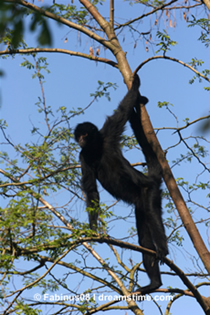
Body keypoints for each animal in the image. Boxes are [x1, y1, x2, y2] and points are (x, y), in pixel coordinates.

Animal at [74, 74, 168, 296]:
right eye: (79, 136)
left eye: (84, 135)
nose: (80, 140)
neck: (95, 148)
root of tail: (150, 179)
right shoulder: (83, 156)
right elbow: (91, 190)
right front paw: (93, 230)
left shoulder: (109, 132)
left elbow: (124, 110)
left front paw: (135, 85)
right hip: (140, 204)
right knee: (144, 241)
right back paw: (154, 284)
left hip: (149, 192)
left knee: (153, 216)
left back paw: (162, 249)